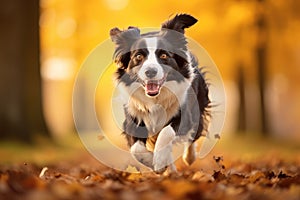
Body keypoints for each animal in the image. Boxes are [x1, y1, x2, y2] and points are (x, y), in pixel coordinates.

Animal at [109, 13, 210, 173]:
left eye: (163, 55)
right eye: (138, 56)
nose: (150, 71)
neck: (155, 99)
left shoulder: (184, 113)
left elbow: (167, 132)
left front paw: (160, 160)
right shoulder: (133, 117)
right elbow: (136, 149)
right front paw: (153, 162)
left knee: (194, 134)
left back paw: (188, 158)